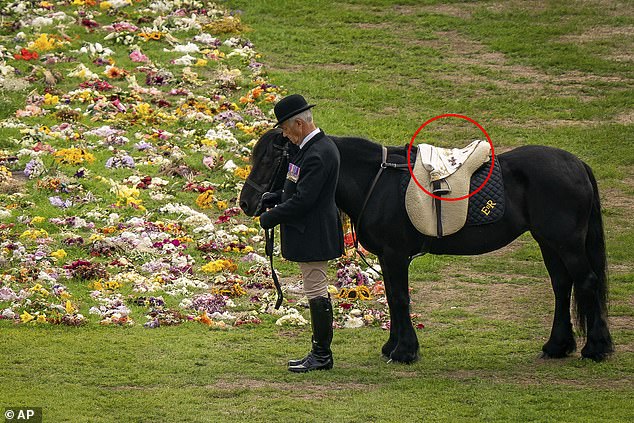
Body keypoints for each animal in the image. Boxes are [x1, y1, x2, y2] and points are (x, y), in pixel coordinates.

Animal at [238, 130, 612, 364]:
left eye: (270, 158)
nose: (247, 203)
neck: (378, 181)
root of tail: (577, 165)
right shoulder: (388, 257)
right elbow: (393, 299)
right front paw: (393, 347)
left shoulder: (394, 254)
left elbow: (400, 298)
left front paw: (404, 352)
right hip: (549, 242)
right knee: (563, 286)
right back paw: (558, 345)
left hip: (566, 243)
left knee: (587, 282)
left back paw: (596, 347)